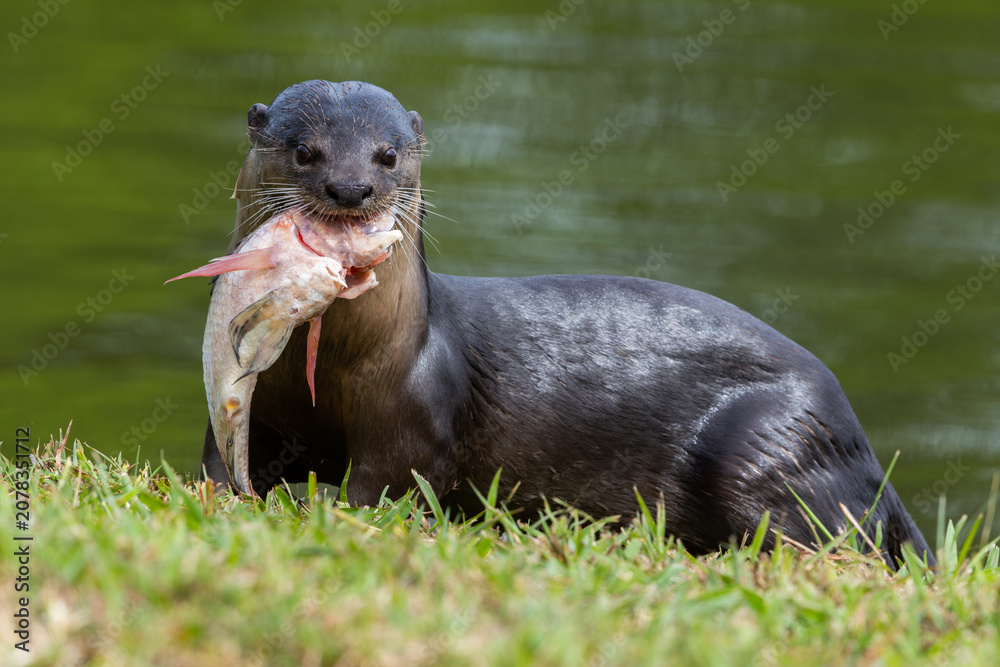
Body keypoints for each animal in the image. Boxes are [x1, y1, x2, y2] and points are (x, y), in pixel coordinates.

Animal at [197, 79, 933, 567]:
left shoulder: (411, 421)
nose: (351, 189)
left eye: (387, 155)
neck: (340, 367)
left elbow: (385, 489)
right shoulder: (256, 407)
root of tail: (863, 450)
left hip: (766, 442)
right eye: (304, 150)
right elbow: (224, 462)